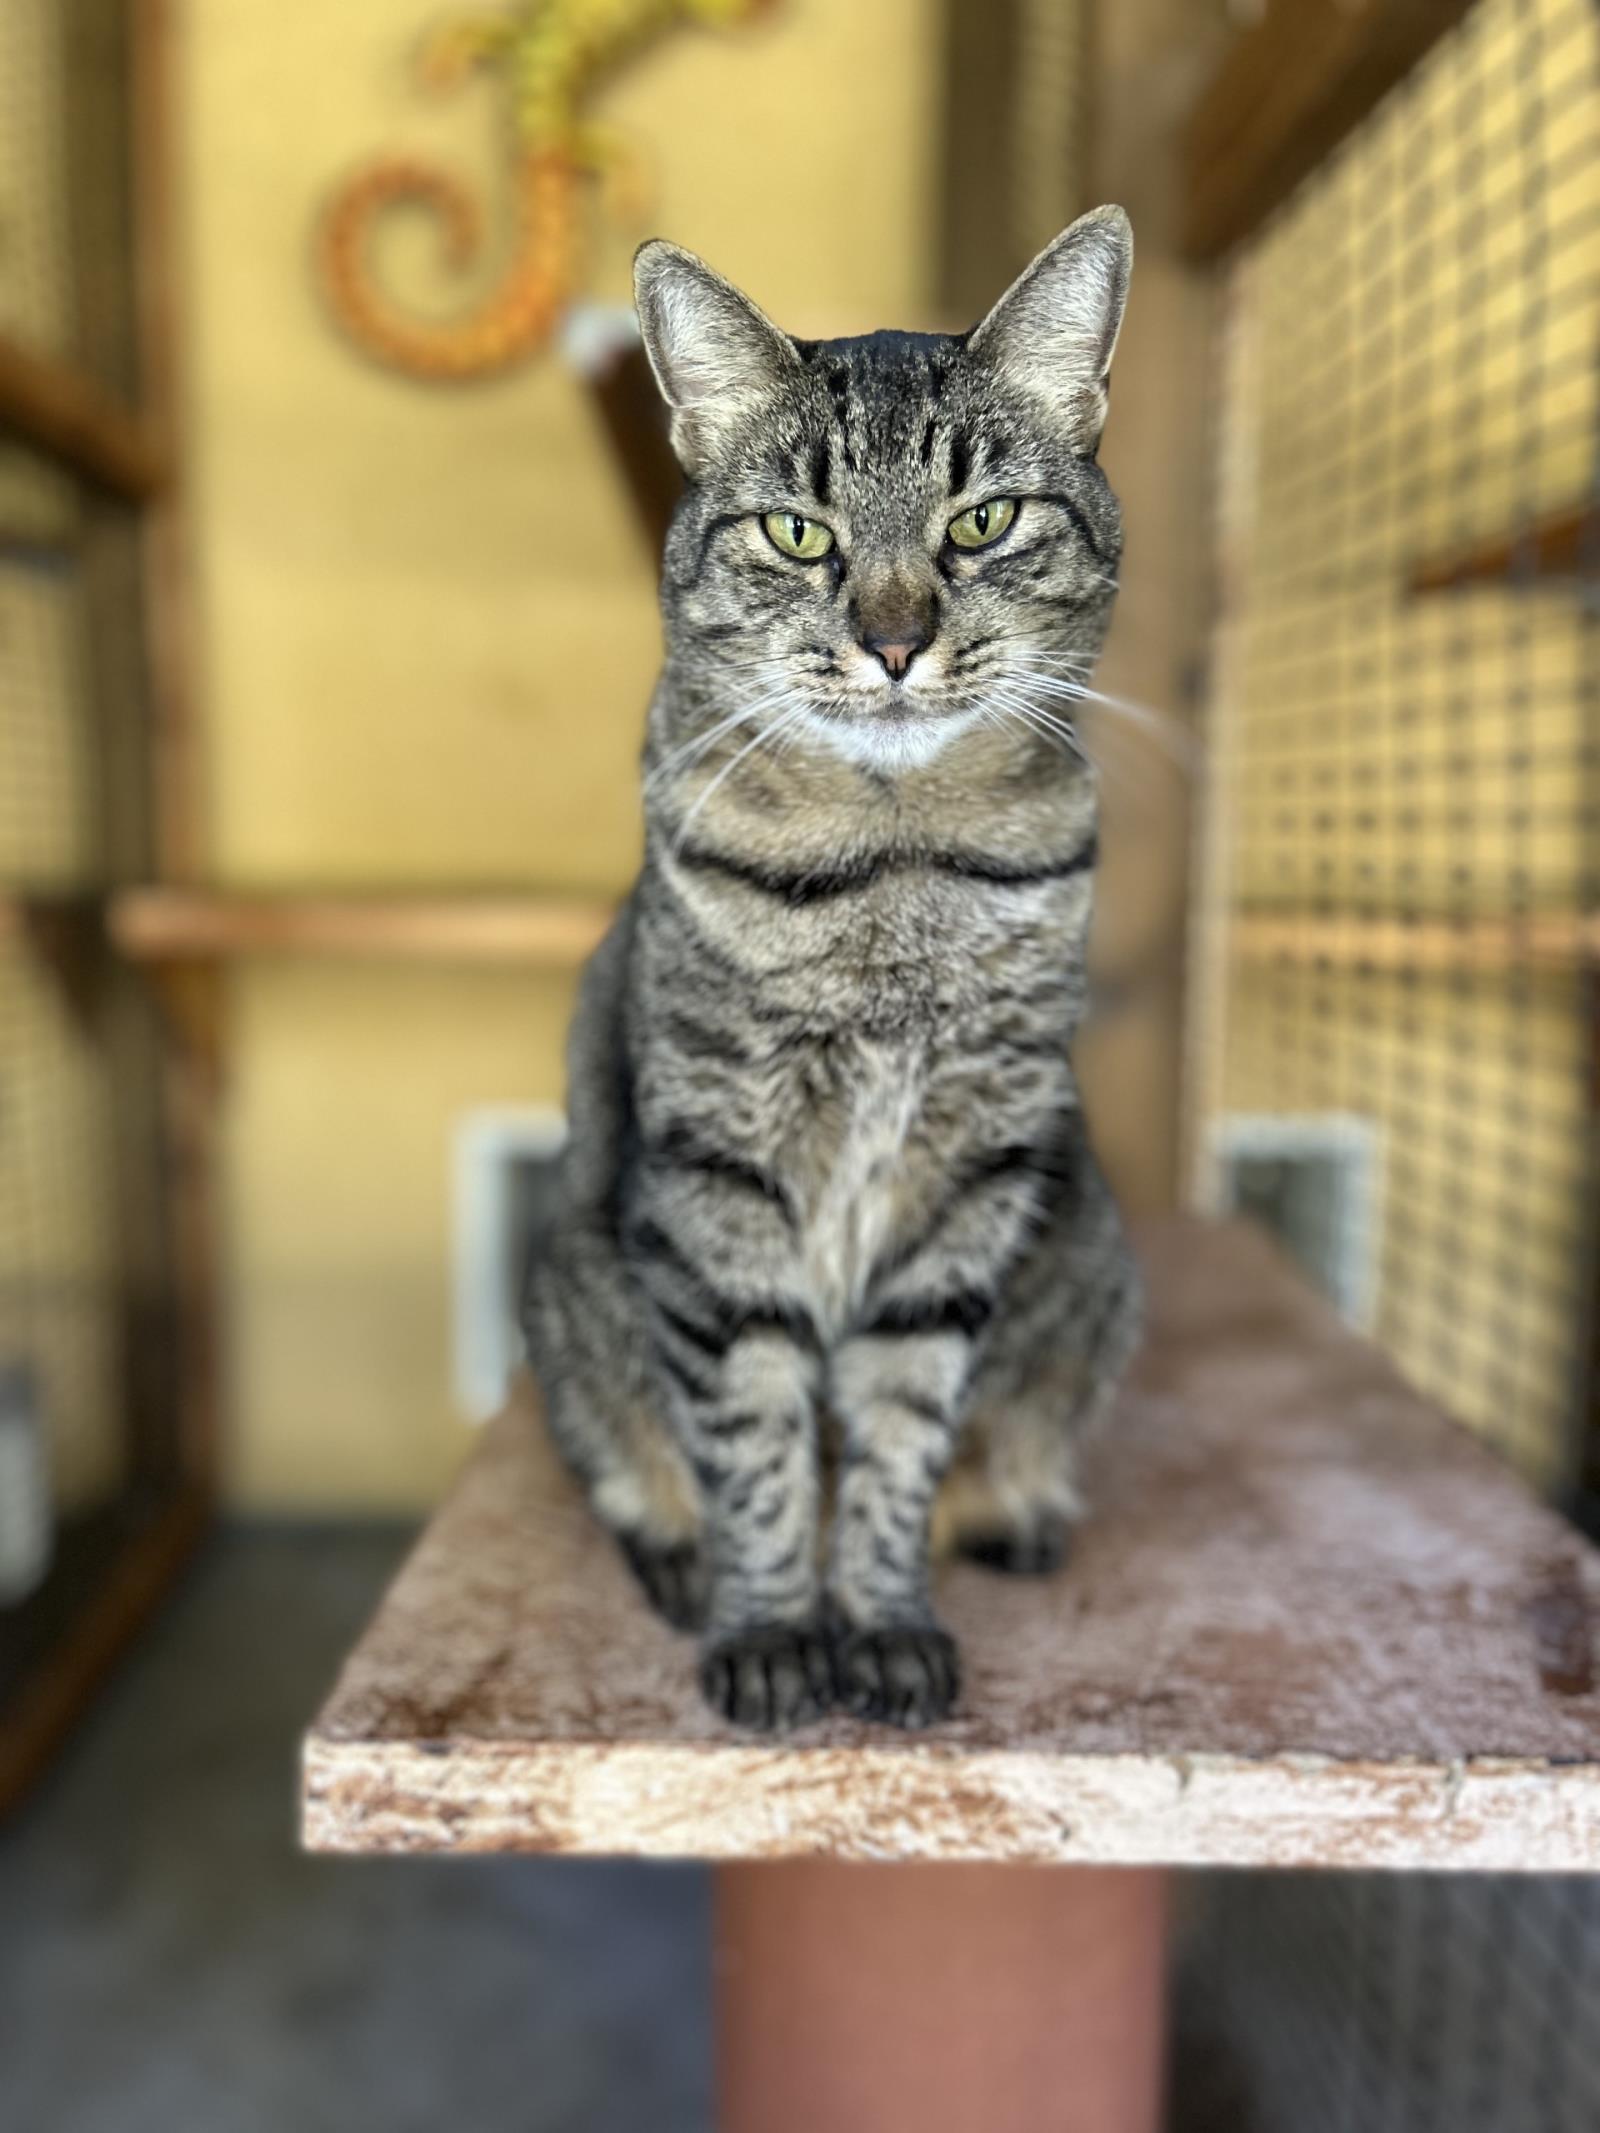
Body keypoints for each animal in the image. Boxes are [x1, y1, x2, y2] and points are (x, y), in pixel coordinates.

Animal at [533, 207, 1143, 1723]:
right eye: (798, 533)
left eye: (980, 520)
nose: (893, 640)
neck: (894, 866)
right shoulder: (716, 1173)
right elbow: (752, 1434)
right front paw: (768, 1630)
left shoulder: (971, 1170)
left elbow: (900, 1425)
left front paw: (878, 1616)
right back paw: (677, 1556)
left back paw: (1016, 1509)